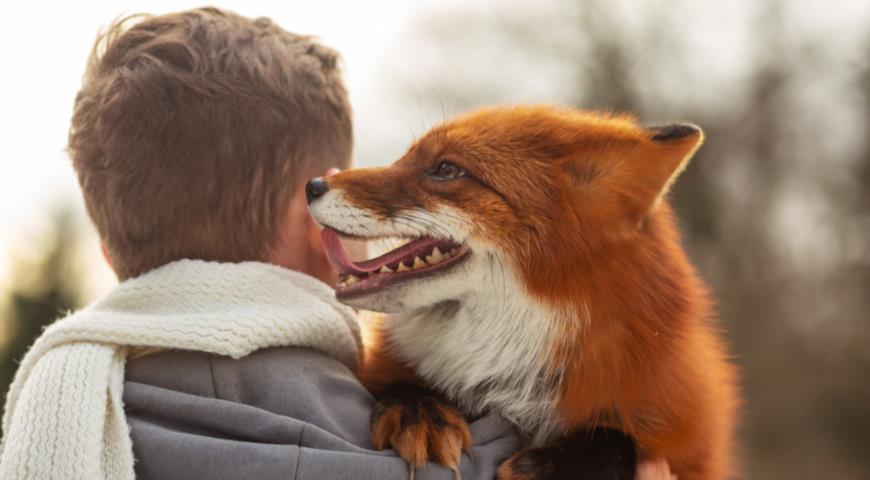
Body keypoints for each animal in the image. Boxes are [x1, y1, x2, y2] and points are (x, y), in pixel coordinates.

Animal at [306, 106, 736, 480]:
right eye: (405, 158)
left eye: (447, 169)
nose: (313, 185)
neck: (510, 376)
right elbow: (403, 384)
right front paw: (420, 413)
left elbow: (619, 441)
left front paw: (556, 467)